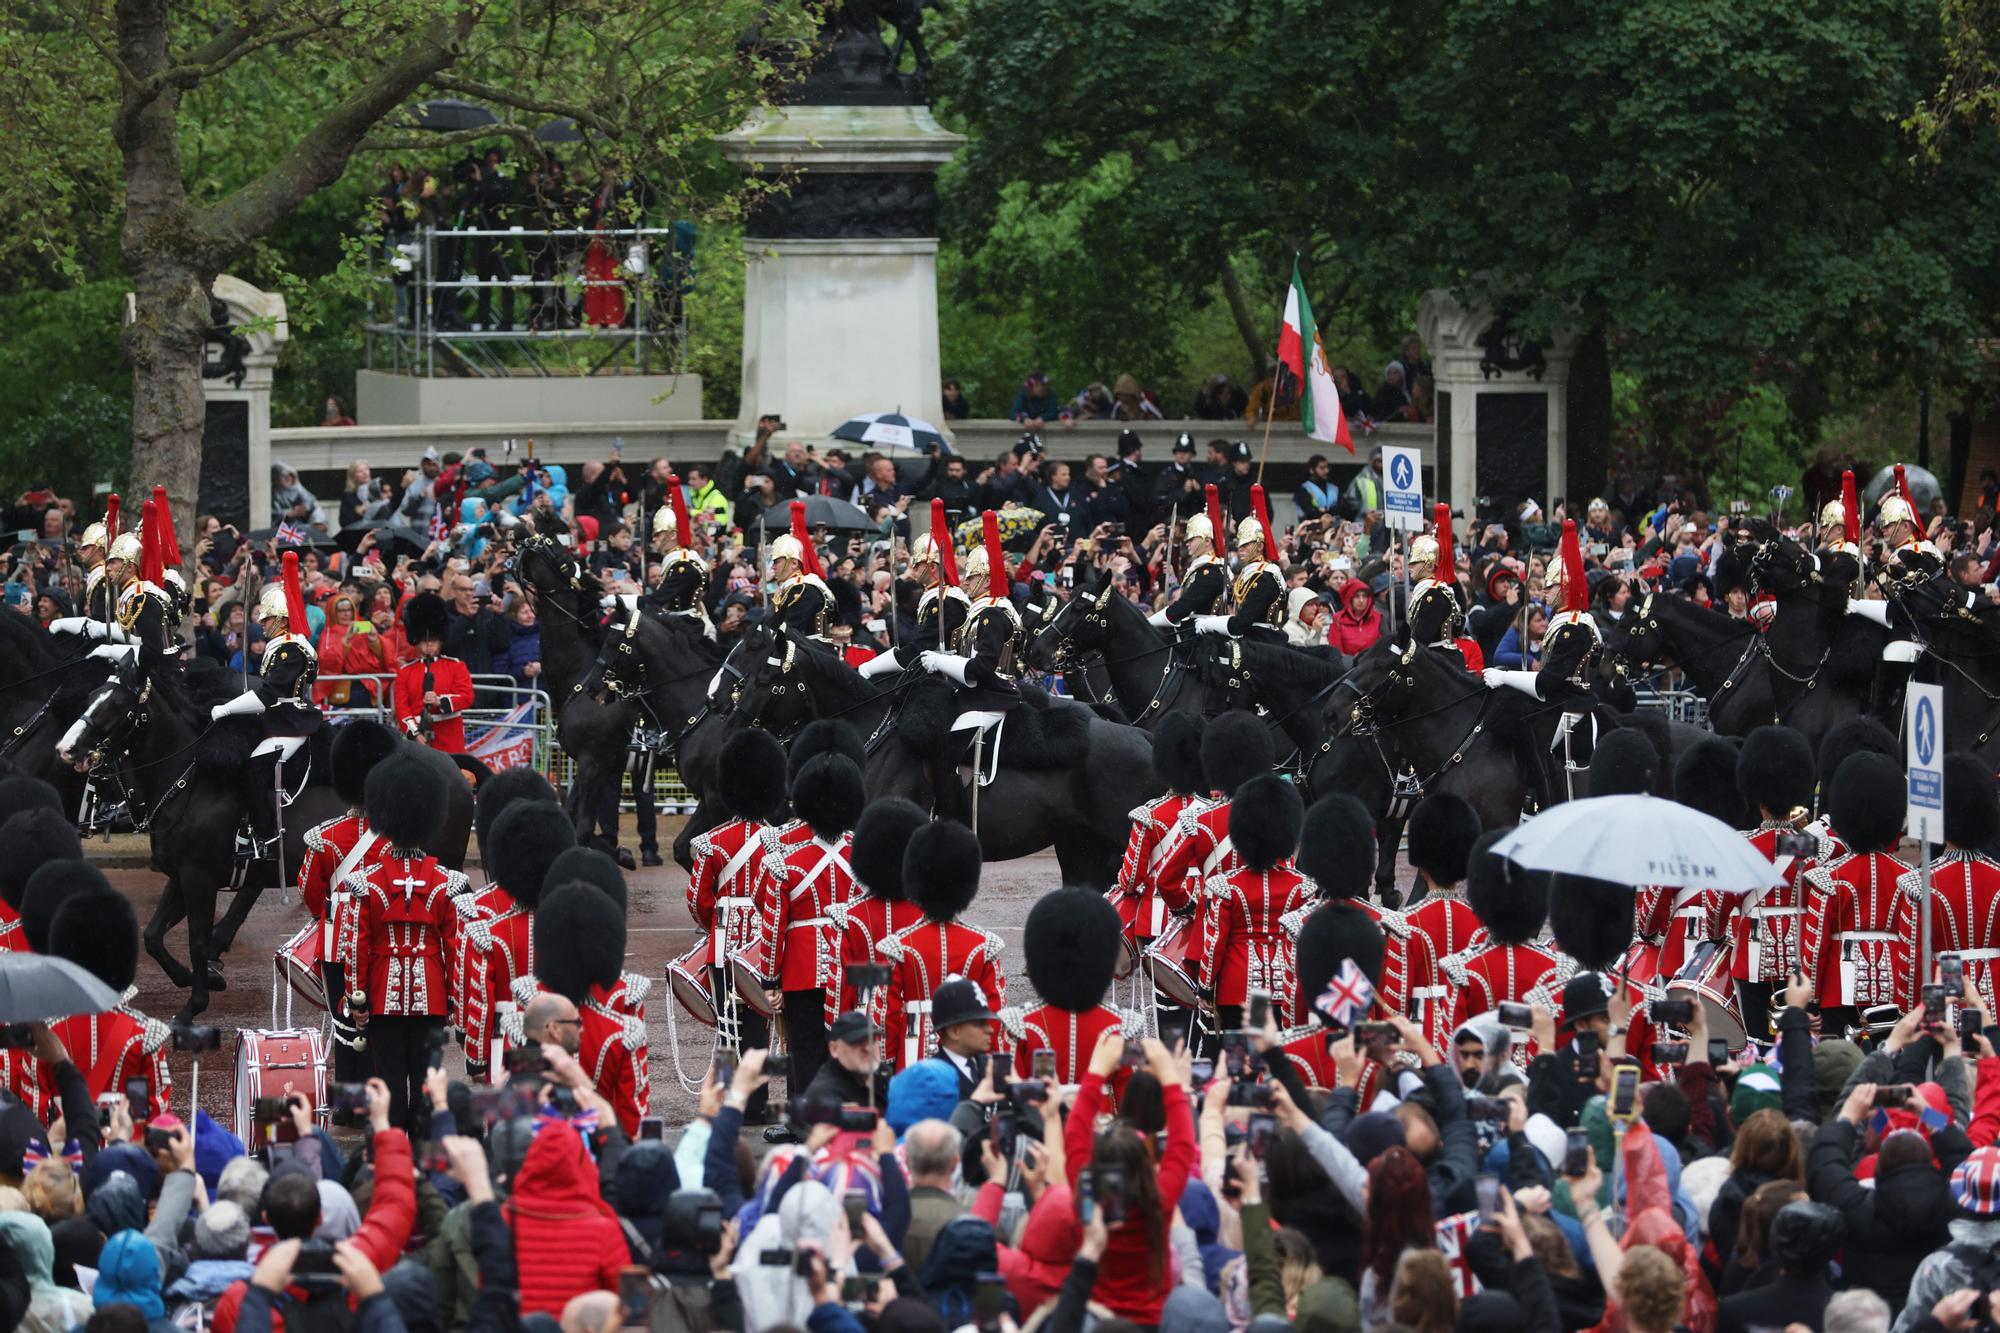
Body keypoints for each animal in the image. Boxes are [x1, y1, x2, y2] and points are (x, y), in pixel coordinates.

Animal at [56, 644, 470, 1016]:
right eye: (91, 696)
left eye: (116, 704)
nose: (66, 748)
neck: (189, 780)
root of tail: (451, 767)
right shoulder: (182, 876)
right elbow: (153, 936)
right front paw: (197, 979)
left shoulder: (200, 879)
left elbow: (196, 939)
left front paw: (193, 1005)